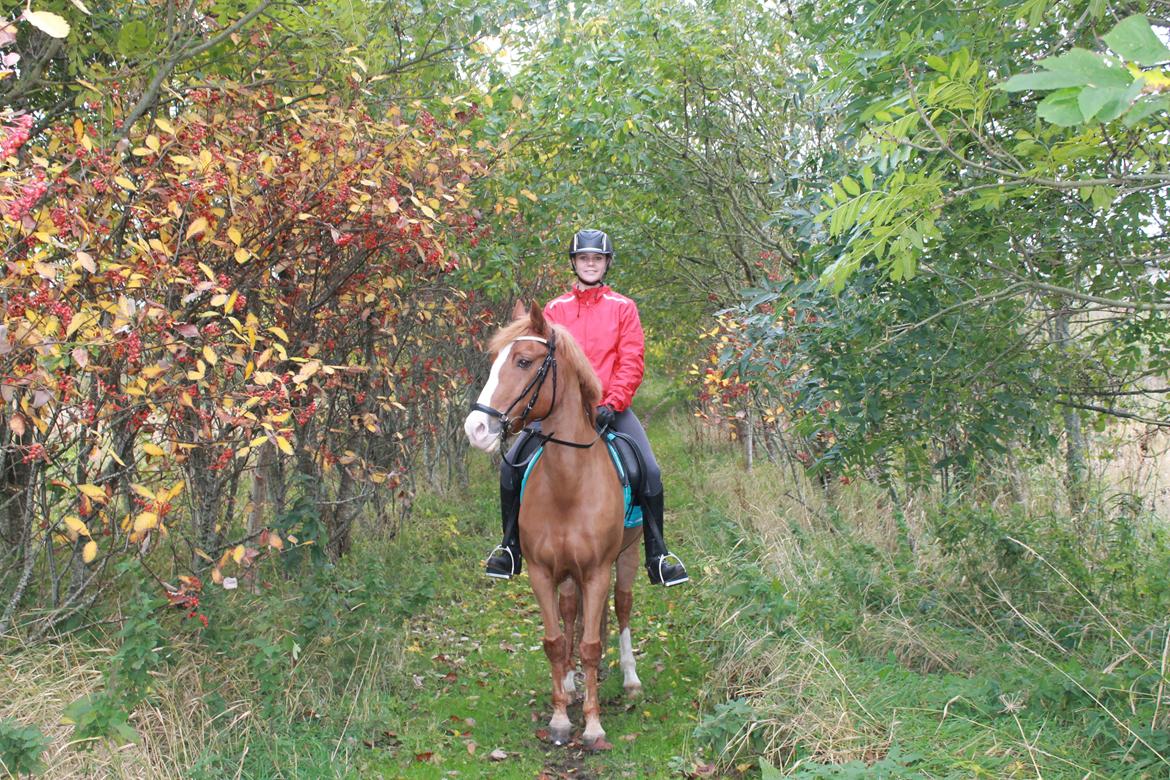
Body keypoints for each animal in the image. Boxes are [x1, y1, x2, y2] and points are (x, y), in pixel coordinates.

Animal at [464, 302, 644, 750]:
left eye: (524, 361)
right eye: (494, 361)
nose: (476, 429)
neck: (569, 484)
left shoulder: (597, 571)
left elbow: (593, 645)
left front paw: (594, 728)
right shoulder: (543, 572)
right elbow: (556, 640)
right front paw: (561, 716)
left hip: (628, 555)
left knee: (623, 605)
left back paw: (630, 678)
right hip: (568, 574)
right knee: (571, 615)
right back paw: (573, 681)